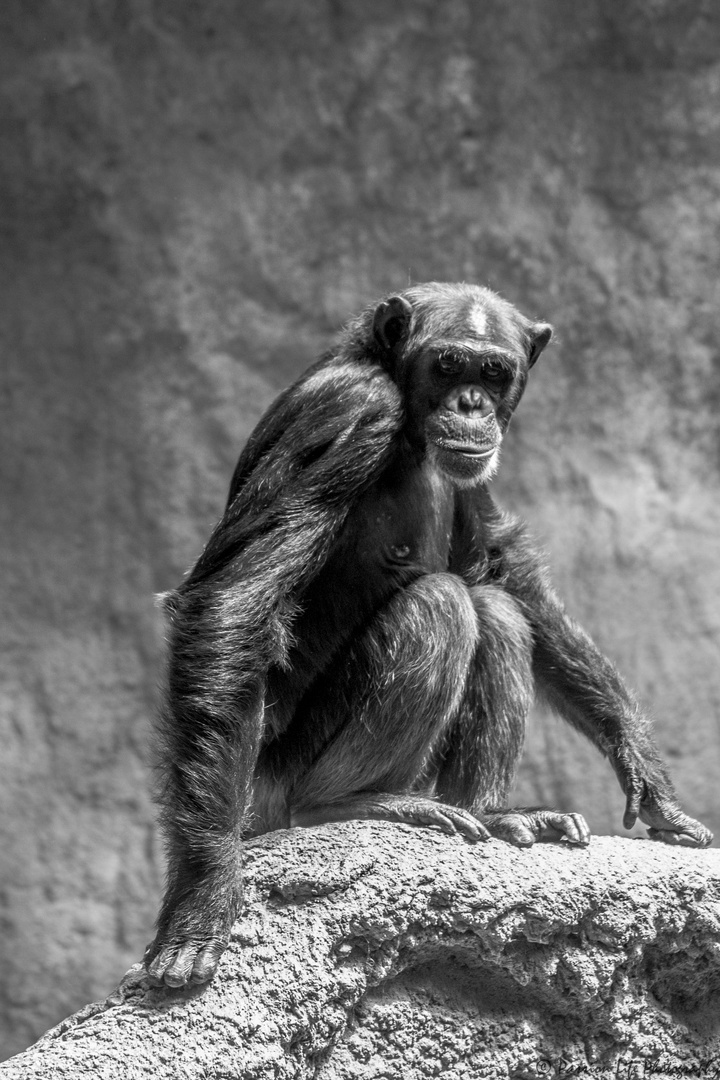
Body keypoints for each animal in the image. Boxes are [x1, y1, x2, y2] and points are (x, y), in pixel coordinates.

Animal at [143, 280, 712, 989]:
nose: (471, 403)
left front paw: (644, 767)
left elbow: (499, 565)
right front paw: (202, 900)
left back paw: (493, 812)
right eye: (447, 364)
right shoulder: (349, 416)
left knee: (496, 610)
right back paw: (348, 804)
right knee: (441, 604)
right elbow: (235, 598)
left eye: (493, 372)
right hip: (273, 778)